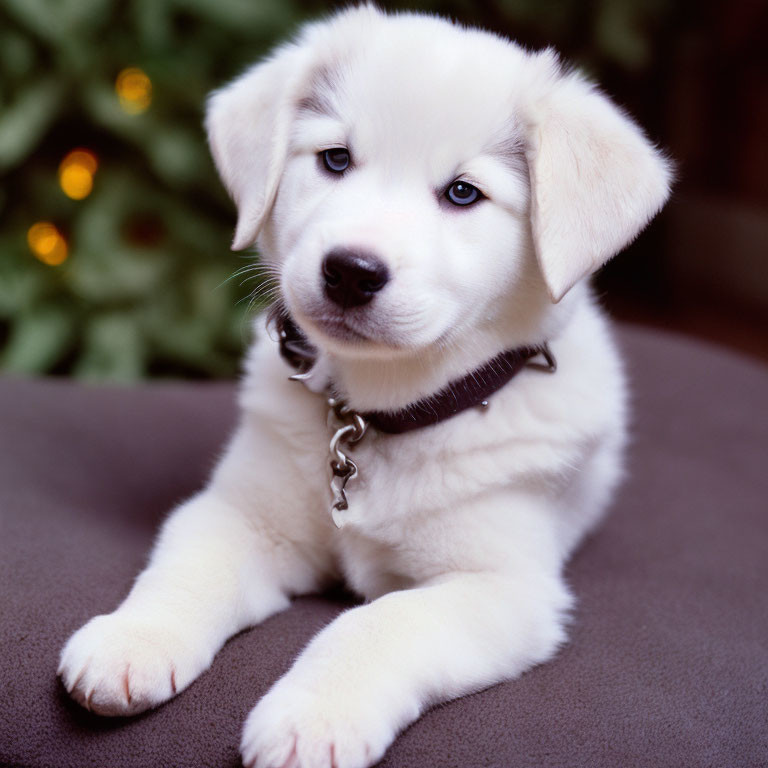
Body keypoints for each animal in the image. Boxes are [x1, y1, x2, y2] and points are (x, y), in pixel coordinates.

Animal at [58, 7, 672, 768]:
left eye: (463, 193)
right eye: (335, 159)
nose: (350, 271)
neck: (376, 418)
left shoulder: (502, 588)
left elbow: (377, 623)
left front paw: (313, 717)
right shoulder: (239, 512)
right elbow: (187, 567)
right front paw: (133, 639)